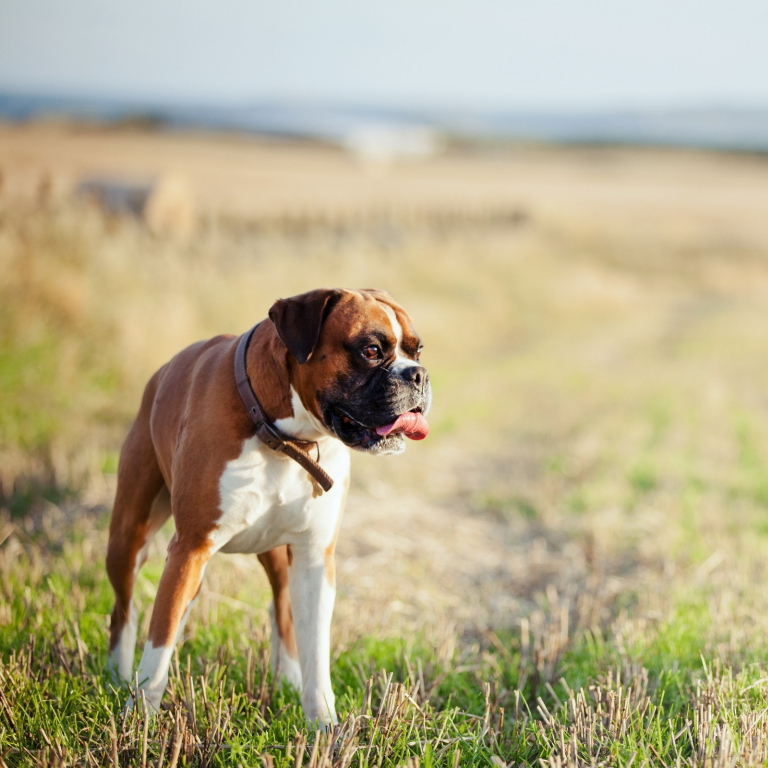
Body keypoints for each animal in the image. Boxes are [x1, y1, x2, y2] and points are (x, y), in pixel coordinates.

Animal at [105, 288, 432, 728]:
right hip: (129, 538)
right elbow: (159, 643)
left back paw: (288, 679)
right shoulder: (190, 549)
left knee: (281, 610)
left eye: (418, 350)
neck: (286, 439)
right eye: (370, 350)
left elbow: (316, 650)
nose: (419, 375)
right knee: (125, 611)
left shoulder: (314, 559)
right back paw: (117, 675)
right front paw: (139, 720)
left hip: (277, 555)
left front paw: (323, 724)